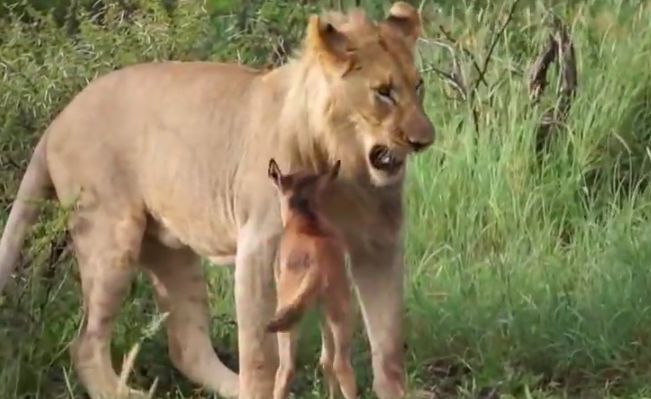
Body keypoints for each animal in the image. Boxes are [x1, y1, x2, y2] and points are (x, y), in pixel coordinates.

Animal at [0, 1, 438, 398]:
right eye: (383, 93)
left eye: (418, 86)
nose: (424, 140)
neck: (345, 164)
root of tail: (58, 118)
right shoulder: (260, 244)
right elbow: (261, 352)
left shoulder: (378, 244)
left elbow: (388, 343)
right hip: (110, 236)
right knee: (86, 345)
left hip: (171, 252)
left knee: (187, 347)